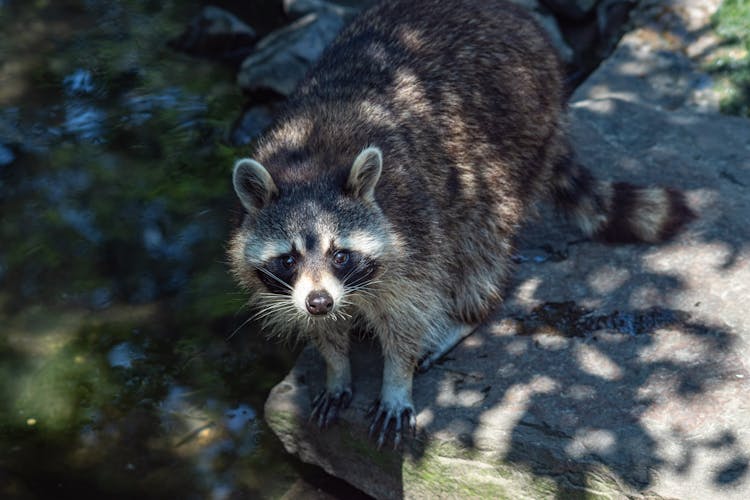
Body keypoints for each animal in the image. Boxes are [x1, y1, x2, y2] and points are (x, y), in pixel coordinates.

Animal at [228, 0, 692, 448]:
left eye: (340, 255)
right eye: (288, 259)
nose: (320, 301)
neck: (310, 164)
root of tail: (514, 14)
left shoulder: (414, 231)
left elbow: (408, 316)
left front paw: (397, 380)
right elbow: (323, 331)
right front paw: (336, 367)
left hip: (512, 140)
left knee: (480, 245)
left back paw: (469, 312)